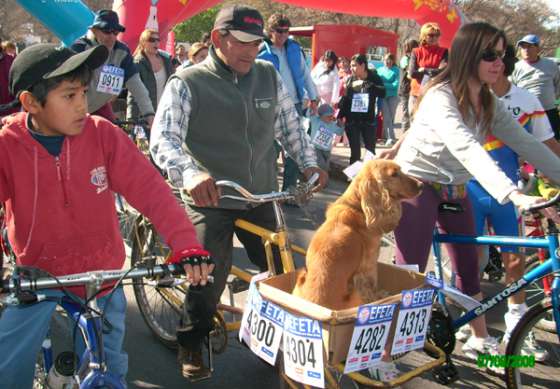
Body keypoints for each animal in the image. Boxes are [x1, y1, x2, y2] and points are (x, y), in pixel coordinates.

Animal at [294, 158, 424, 310]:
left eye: (401, 170)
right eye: (394, 174)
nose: (421, 185)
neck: (357, 206)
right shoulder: (369, 265)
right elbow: (372, 286)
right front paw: (379, 296)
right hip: (357, 288)